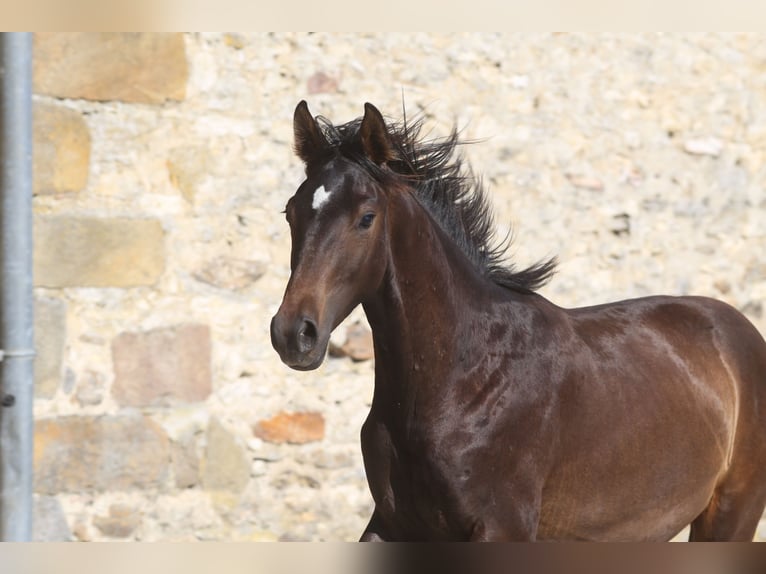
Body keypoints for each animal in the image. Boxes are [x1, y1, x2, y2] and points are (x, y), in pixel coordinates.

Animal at [270, 101, 766, 544]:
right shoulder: (393, 524)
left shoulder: (502, 528)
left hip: (731, 513)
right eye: (291, 211)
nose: (293, 334)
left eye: (366, 218)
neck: (462, 377)